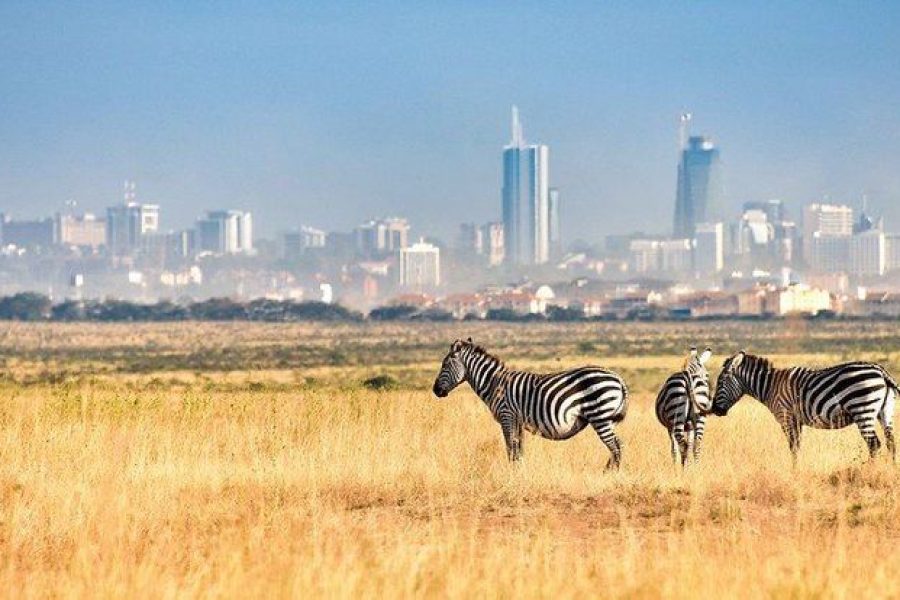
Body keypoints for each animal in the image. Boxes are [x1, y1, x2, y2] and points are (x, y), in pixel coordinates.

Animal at [432, 338, 628, 468]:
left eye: (444, 365)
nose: (435, 391)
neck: (494, 382)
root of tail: (618, 379)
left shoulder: (507, 415)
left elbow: (510, 447)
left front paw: (512, 473)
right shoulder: (517, 420)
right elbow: (519, 448)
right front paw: (520, 471)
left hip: (599, 415)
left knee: (616, 446)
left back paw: (610, 474)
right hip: (606, 418)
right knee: (618, 445)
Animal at [712, 350, 896, 462]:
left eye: (720, 382)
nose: (714, 410)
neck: (770, 386)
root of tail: (880, 371)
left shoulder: (786, 417)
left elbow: (793, 447)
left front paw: (793, 473)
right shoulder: (797, 421)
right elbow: (798, 447)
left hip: (863, 410)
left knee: (874, 445)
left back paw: (869, 471)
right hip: (884, 412)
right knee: (891, 443)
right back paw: (891, 472)